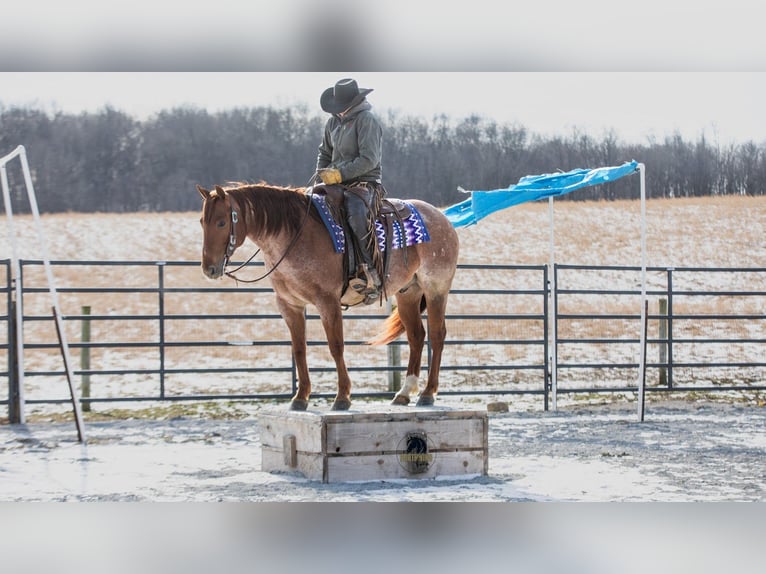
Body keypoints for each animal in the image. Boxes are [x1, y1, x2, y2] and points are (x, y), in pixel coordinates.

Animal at [197, 182, 459, 411]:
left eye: (221, 222)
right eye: (202, 221)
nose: (209, 269)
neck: (293, 235)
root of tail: (442, 218)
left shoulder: (327, 302)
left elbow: (336, 346)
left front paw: (342, 397)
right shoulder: (289, 305)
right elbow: (299, 349)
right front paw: (300, 397)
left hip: (436, 289)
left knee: (437, 335)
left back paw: (428, 393)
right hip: (408, 293)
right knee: (416, 336)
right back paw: (404, 393)